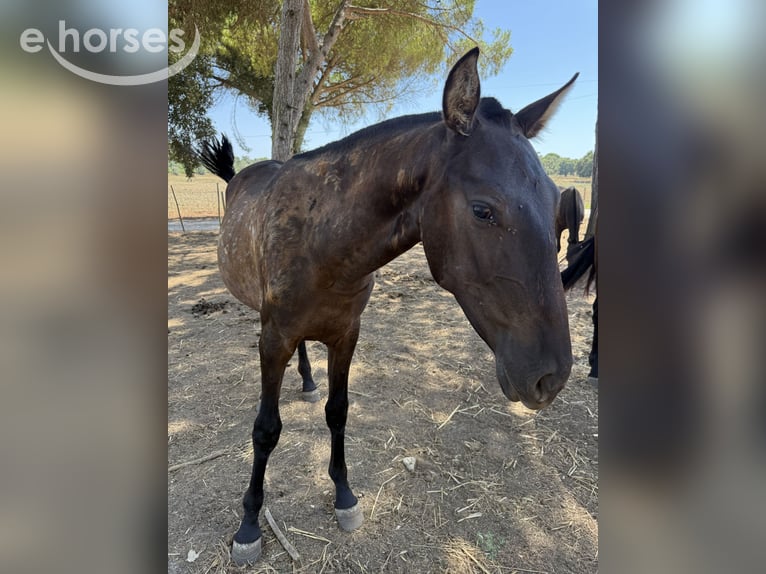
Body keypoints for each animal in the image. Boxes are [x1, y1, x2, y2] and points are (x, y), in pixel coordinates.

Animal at [198, 47, 577, 565]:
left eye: (559, 206)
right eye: (483, 210)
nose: (550, 377)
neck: (321, 238)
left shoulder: (346, 334)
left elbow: (338, 412)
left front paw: (344, 496)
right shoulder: (273, 339)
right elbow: (266, 430)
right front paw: (249, 525)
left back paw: (308, 381)